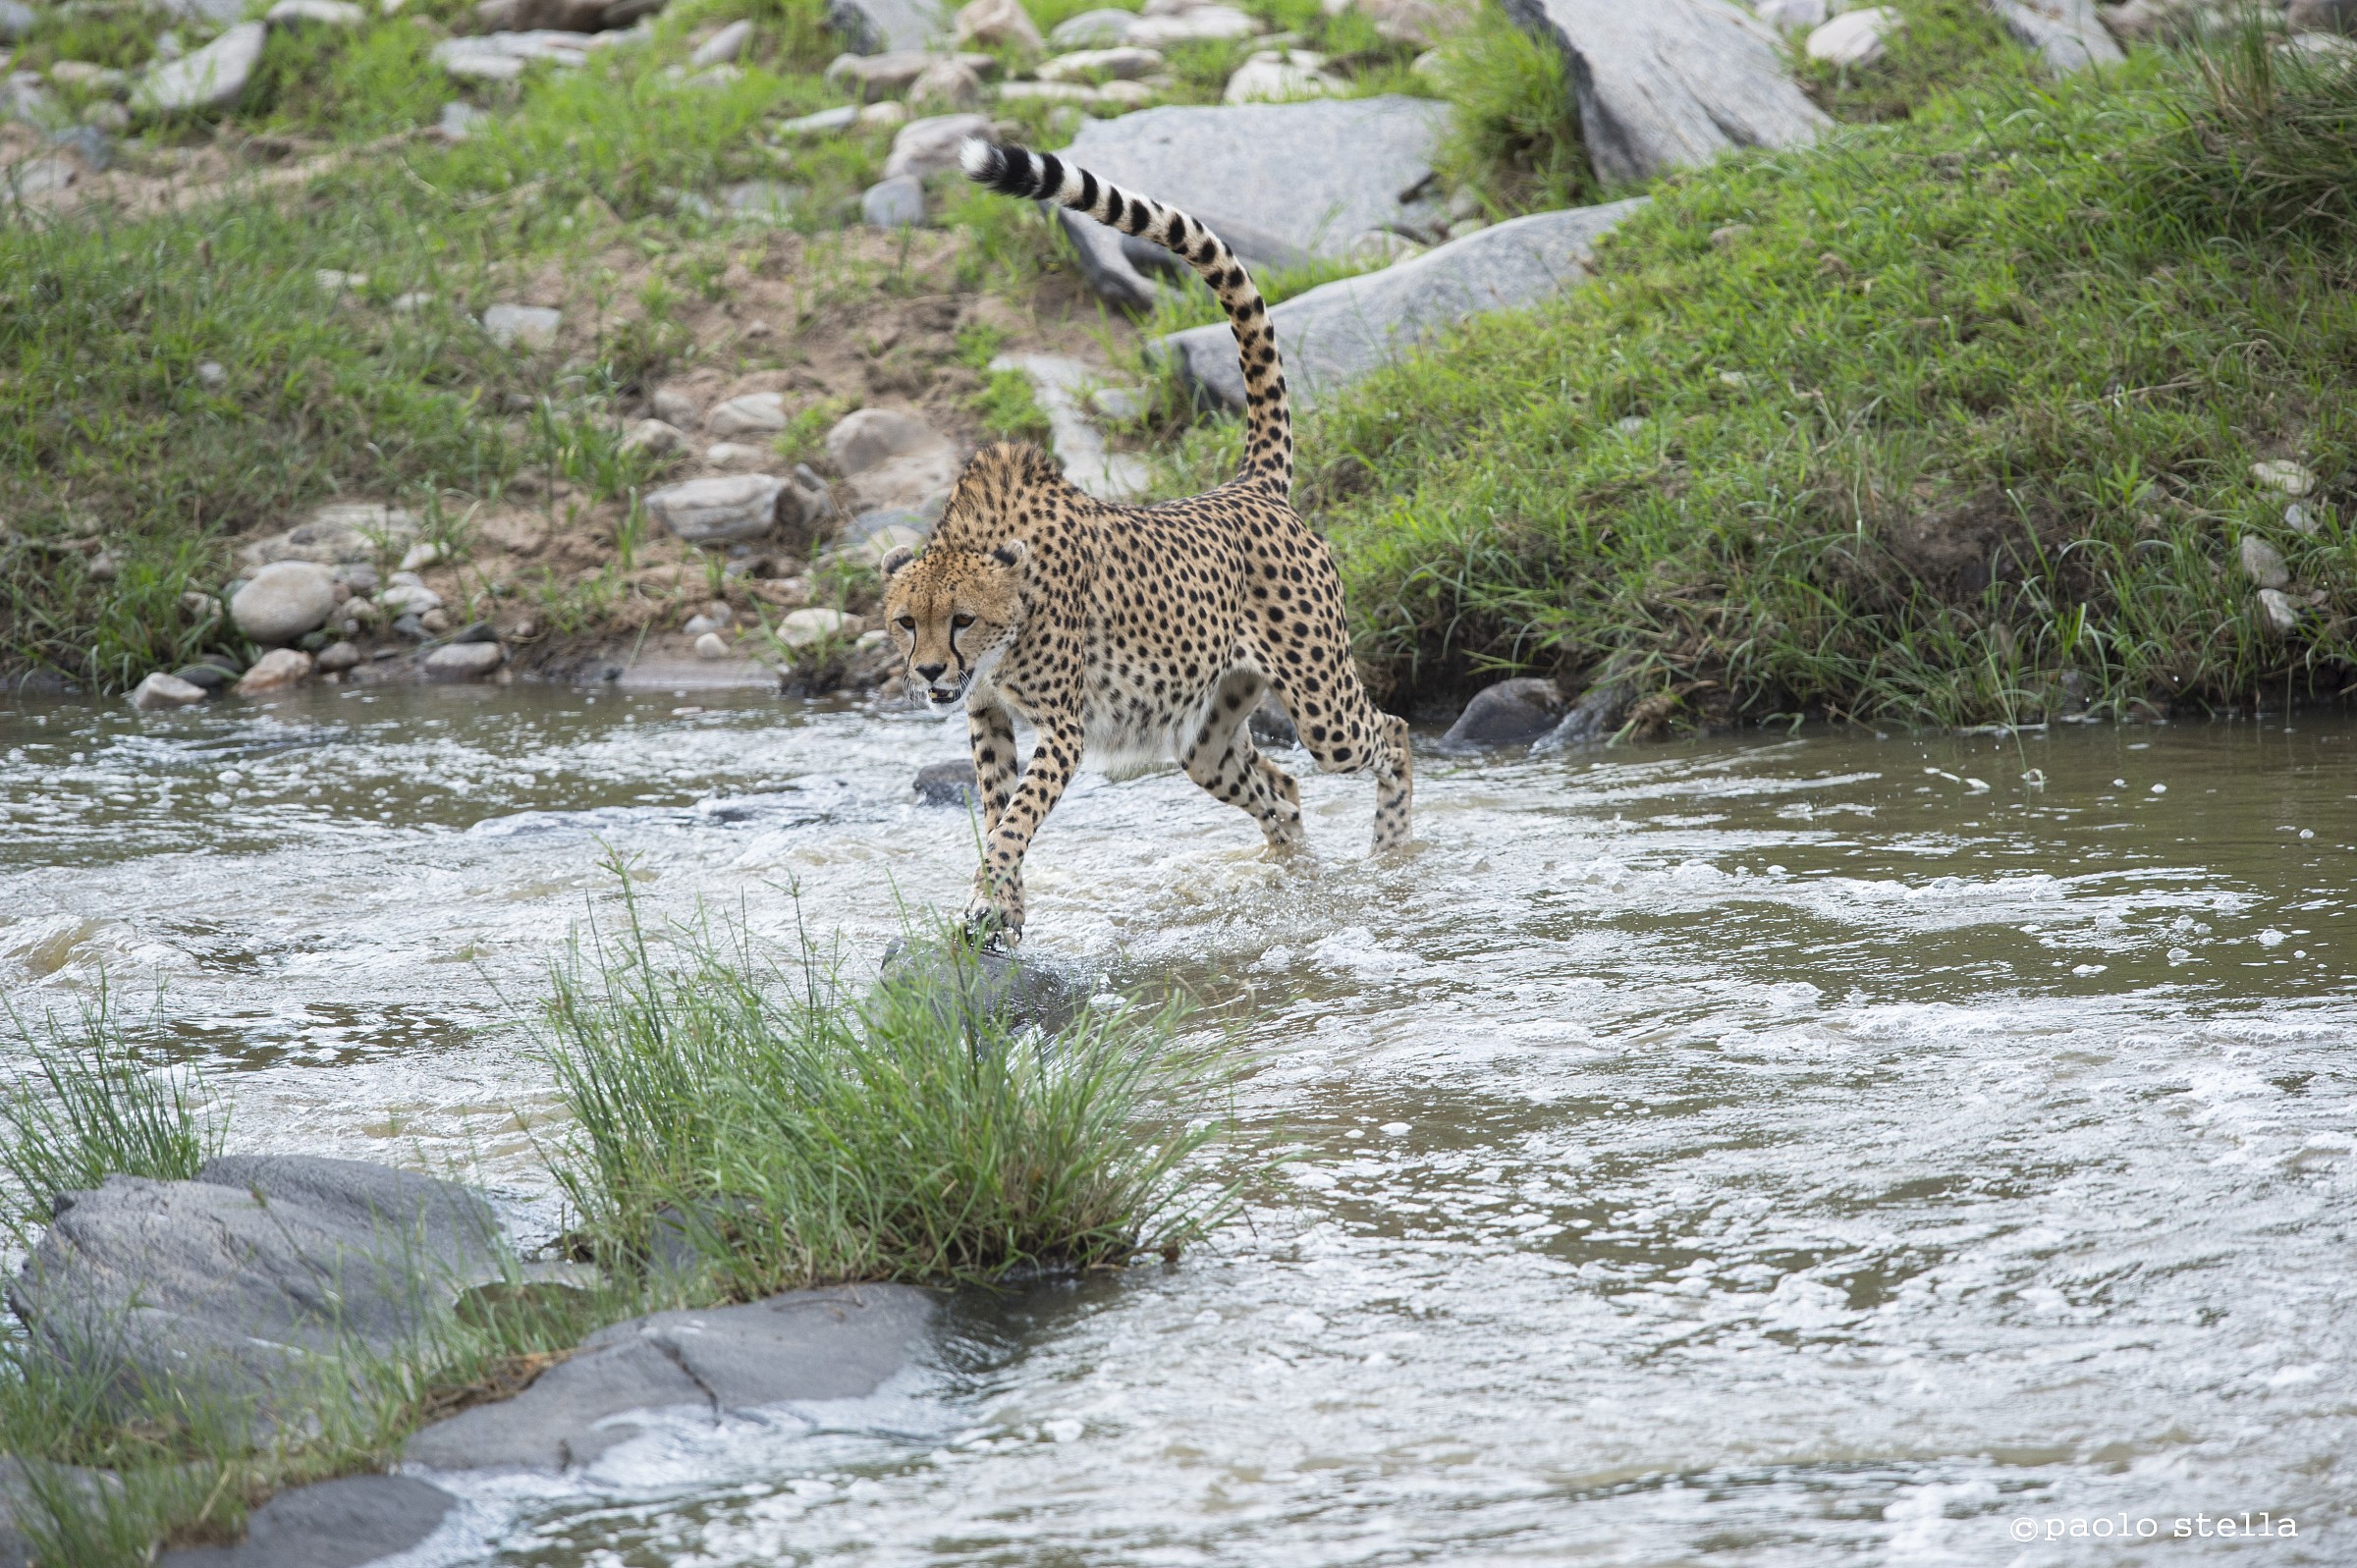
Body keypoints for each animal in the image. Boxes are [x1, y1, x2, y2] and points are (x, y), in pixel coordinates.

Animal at [879, 138, 1412, 944]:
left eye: (962, 619)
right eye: (908, 621)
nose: (934, 672)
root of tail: (1249, 486)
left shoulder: (1062, 727)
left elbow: (1015, 818)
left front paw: (988, 902)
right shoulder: (987, 714)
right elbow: (999, 808)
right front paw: (1003, 911)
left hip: (1324, 706)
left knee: (1394, 732)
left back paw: (1391, 856)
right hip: (1206, 737)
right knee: (1283, 787)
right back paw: (1293, 881)